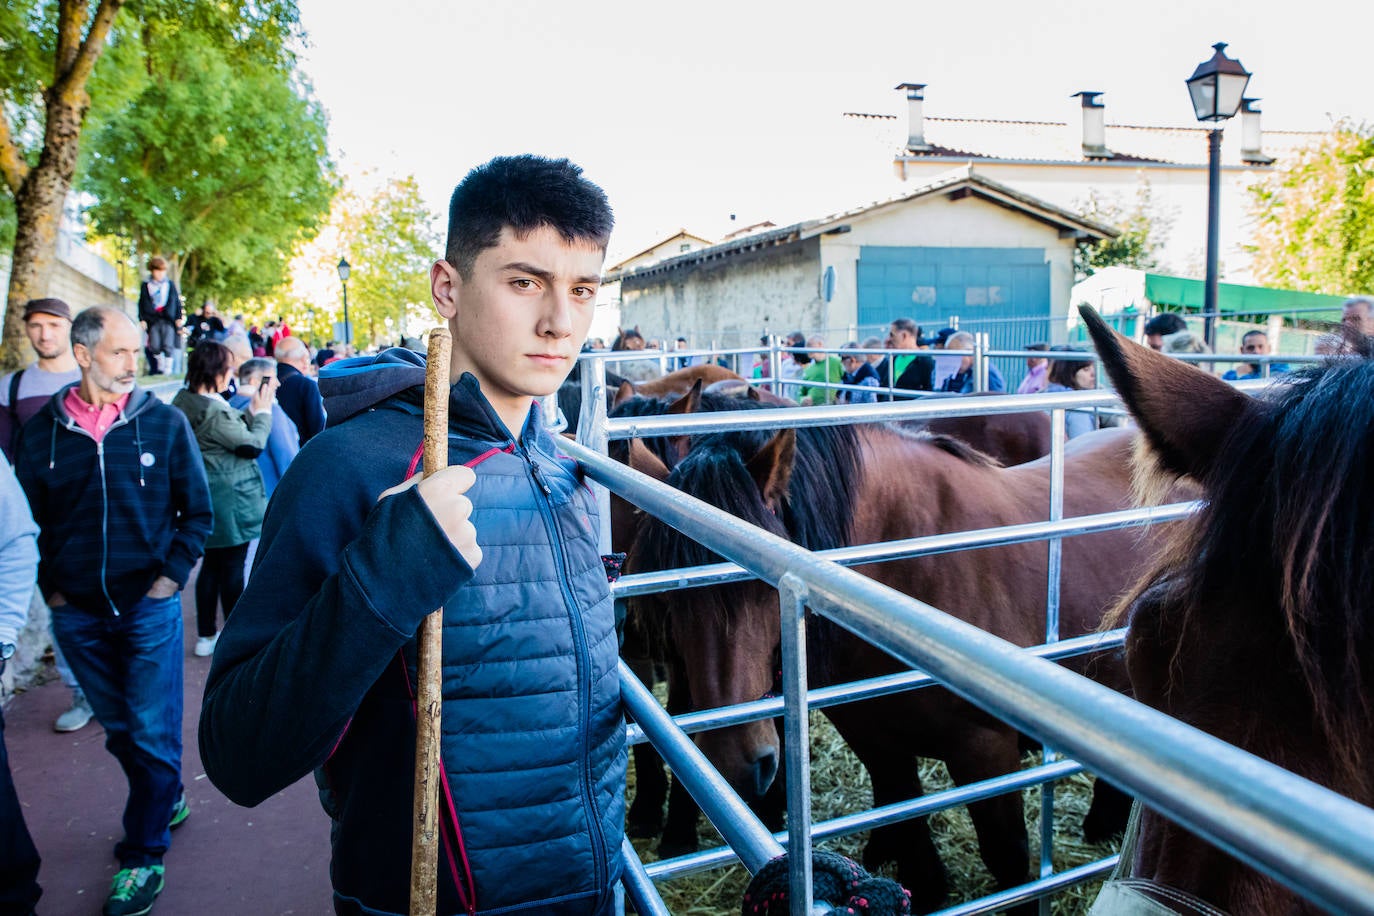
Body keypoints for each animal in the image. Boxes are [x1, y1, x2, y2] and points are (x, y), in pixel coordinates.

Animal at [629, 403, 1159, 911]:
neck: (911, 570)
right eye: (668, 597)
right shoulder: (875, 741)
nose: (730, 763)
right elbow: (908, 830)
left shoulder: (987, 751)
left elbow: (1007, 860)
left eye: (762, 584)